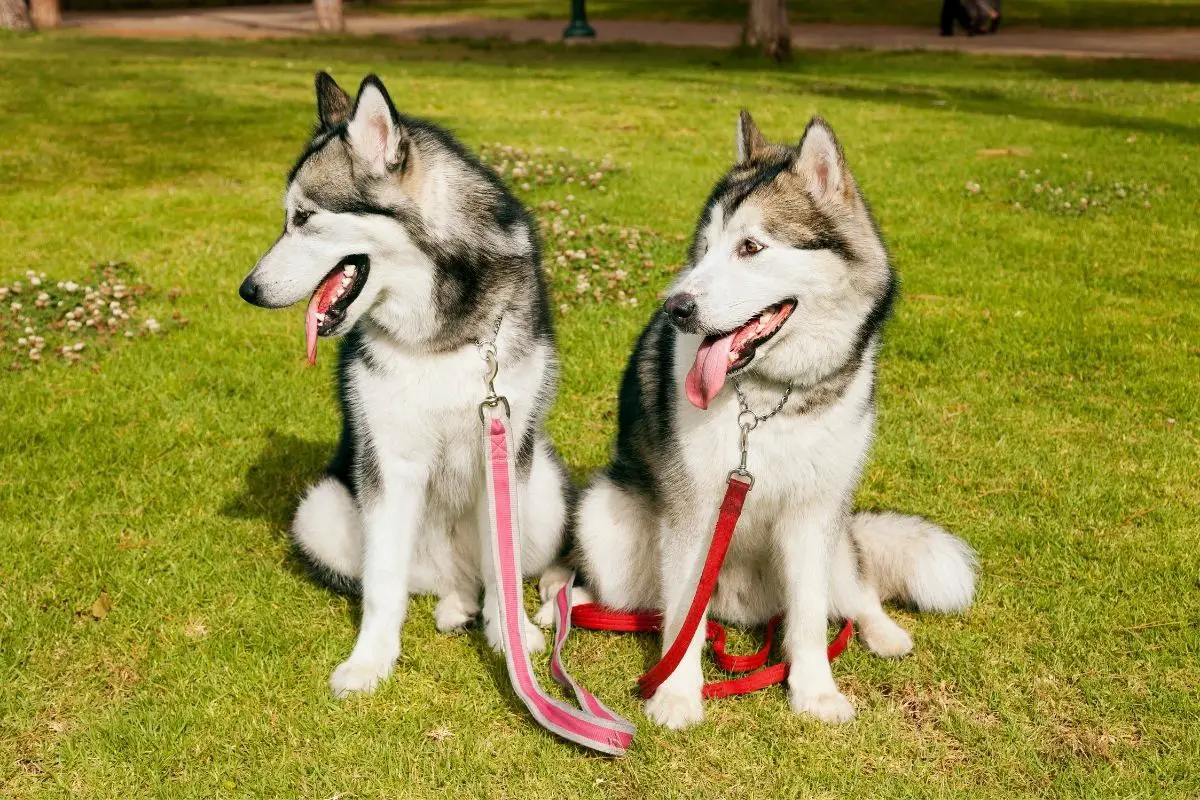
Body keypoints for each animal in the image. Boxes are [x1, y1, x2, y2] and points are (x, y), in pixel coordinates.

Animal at [241, 76, 568, 700]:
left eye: (304, 217)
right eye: (288, 218)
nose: (248, 289)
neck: (439, 334)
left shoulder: (505, 446)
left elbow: (504, 564)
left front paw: (509, 637)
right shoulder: (389, 460)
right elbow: (383, 582)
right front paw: (370, 660)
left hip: (545, 487)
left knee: (503, 571)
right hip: (320, 510)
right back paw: (455, 604)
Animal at [540, 112, 979, 734]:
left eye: (750, 247)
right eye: (703, 249)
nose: (676, 307)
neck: (772, 398)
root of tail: (742, 608)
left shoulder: (813, 514)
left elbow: (810, 621)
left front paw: (816, 692)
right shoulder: (694, 511)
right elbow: (683, 618)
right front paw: (676, 694)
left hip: (835, 538)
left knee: (856, 592)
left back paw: (883, 631)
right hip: (608, 521)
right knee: (633, 600)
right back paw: (561, 598)